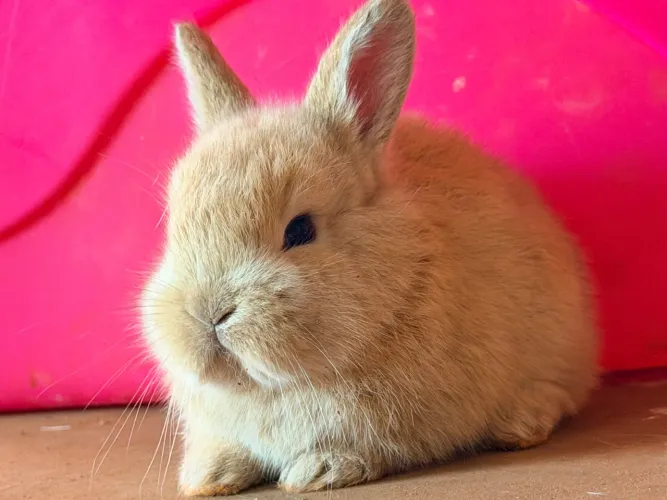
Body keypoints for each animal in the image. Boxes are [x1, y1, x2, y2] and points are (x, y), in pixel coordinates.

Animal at [140, 0, 599, 496]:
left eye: (300, 230)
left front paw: (318, 470)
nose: (208, 314)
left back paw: (520, 422)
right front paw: (206, 476)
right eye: (174, 225)